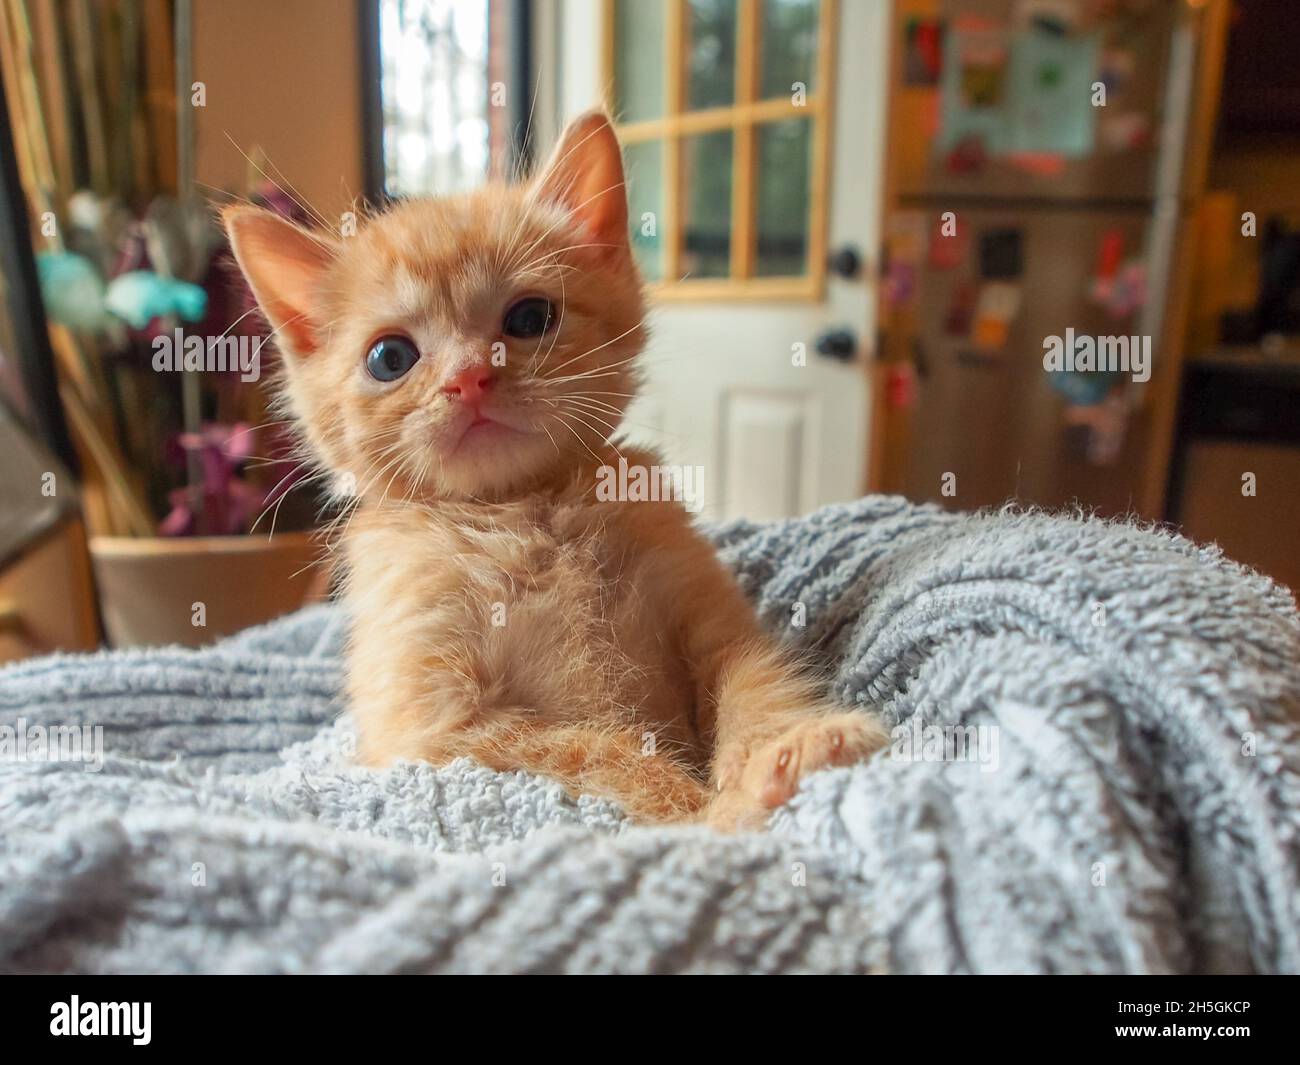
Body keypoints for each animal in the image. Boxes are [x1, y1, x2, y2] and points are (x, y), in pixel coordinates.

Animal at [228, 112, 889, 827]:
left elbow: (755, 687)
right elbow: (594, 752)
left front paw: (792, 751)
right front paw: (700, 813)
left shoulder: (716, 621)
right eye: (389, 358)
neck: (522, 511)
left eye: (530, 317)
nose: (469, 377)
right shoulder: (435, 724)